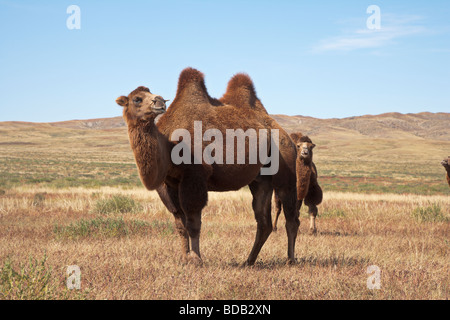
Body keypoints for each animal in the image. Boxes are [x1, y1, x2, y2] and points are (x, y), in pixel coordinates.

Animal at [116, 69, 298, 266]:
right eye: (137, 99)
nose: (159, 101)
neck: (170, 146)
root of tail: (286, 136)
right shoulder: (168, 185)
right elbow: (180, 225)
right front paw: (184, 258)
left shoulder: (195, 177)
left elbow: (193, 223)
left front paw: (196, 259)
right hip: (260, 181)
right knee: (263, 221)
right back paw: (248, 261)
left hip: (285, 165)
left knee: (291, 217)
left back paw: (290, 259)